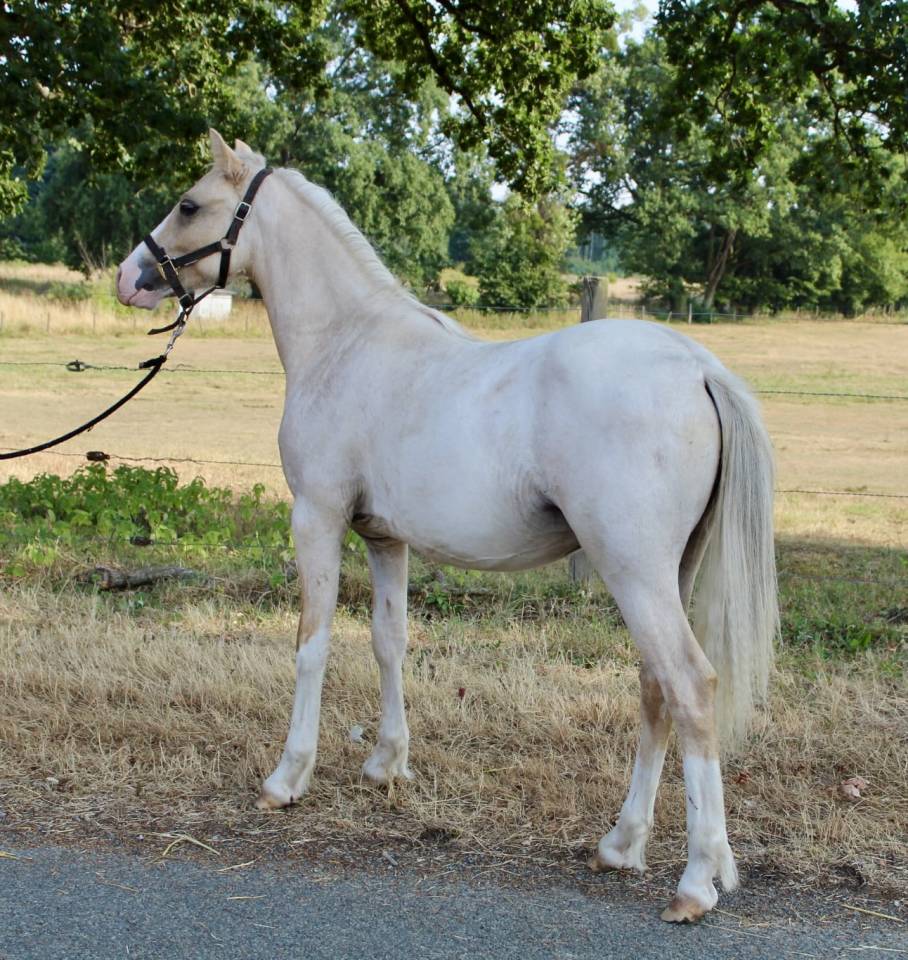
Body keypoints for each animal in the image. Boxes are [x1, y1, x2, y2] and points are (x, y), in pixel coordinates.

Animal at [117, 130, 778, 922]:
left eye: (190, 205)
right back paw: (622, 845)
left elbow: (311, 645)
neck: (346, 341)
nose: (128, 277)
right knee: (655, 689)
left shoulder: (316, 517)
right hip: (669, 573)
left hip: (635, 572)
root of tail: (698, 366)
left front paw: (288, 777)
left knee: (689, 686)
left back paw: (696, 880)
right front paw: (386, 763)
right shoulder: (384, 537)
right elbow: (389, 641)